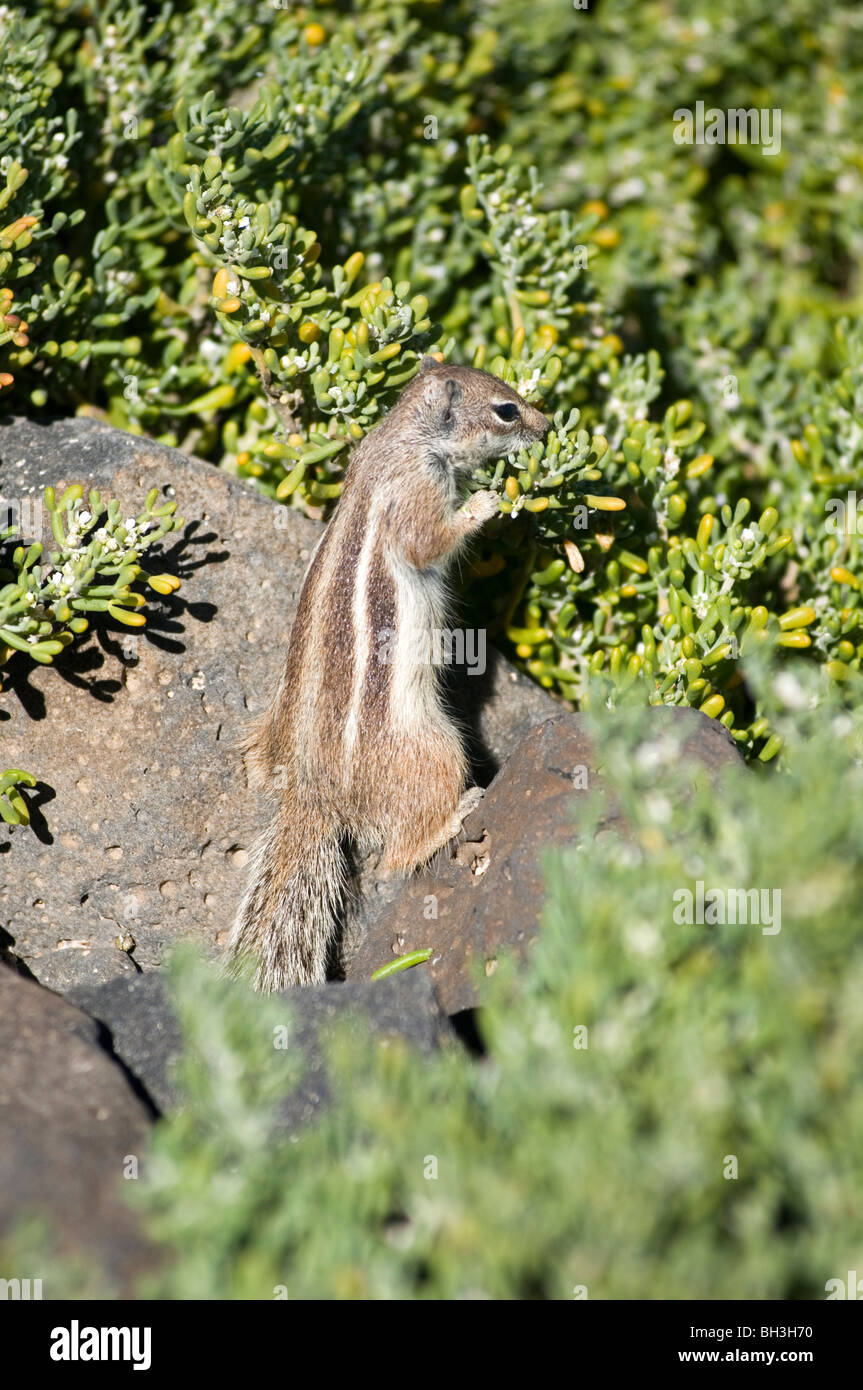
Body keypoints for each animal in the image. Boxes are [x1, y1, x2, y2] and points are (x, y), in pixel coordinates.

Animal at [229, 358, 544, 989]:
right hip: (435, 750)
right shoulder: (415, 496)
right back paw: (454, 817)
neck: (406, 437)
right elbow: (430, 542)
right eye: (506, 410)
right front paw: (483, 505)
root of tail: (313, 792)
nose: (545, 426)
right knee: (400, 854)